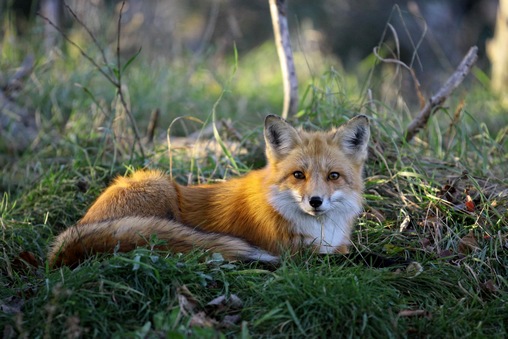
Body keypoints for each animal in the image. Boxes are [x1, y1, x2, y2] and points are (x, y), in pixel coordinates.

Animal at [48, 115, 370, 270]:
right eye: (298, 175)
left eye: (333, 176)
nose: (315, 201)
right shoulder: (296, 255)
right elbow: (362, 257)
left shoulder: (334, 247)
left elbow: (352, 253)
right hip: (160, 185)